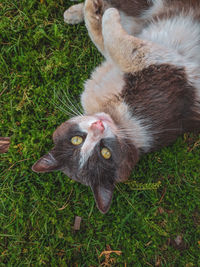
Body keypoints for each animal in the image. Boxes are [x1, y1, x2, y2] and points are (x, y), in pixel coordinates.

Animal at [32, 0, 200, 214]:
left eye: (76, 140)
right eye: (105, 153)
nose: (98, 126)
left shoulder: (148, 57)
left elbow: (110, 43)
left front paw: (95, 11)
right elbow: (112, 44)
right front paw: (97, 12)